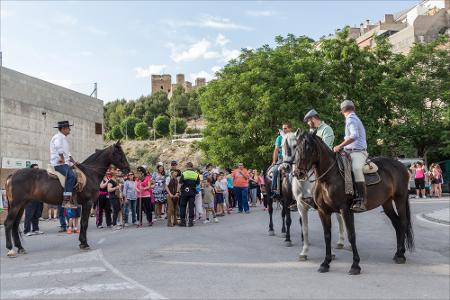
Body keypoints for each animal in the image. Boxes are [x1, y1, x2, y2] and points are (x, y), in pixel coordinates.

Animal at [294, 132, 414, 276]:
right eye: (296, 147)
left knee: (402, 222)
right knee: (396, 224)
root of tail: (401, 166)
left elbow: (351, 235)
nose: (298, 173)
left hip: (400, 199)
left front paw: (355, 265)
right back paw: (398, 253)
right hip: (387, 203)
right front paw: (325, 263)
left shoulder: (345, 210)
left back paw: (401, 255)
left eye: (309, 148)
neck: (329, 178)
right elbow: (327, 236)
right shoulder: (323, 212)